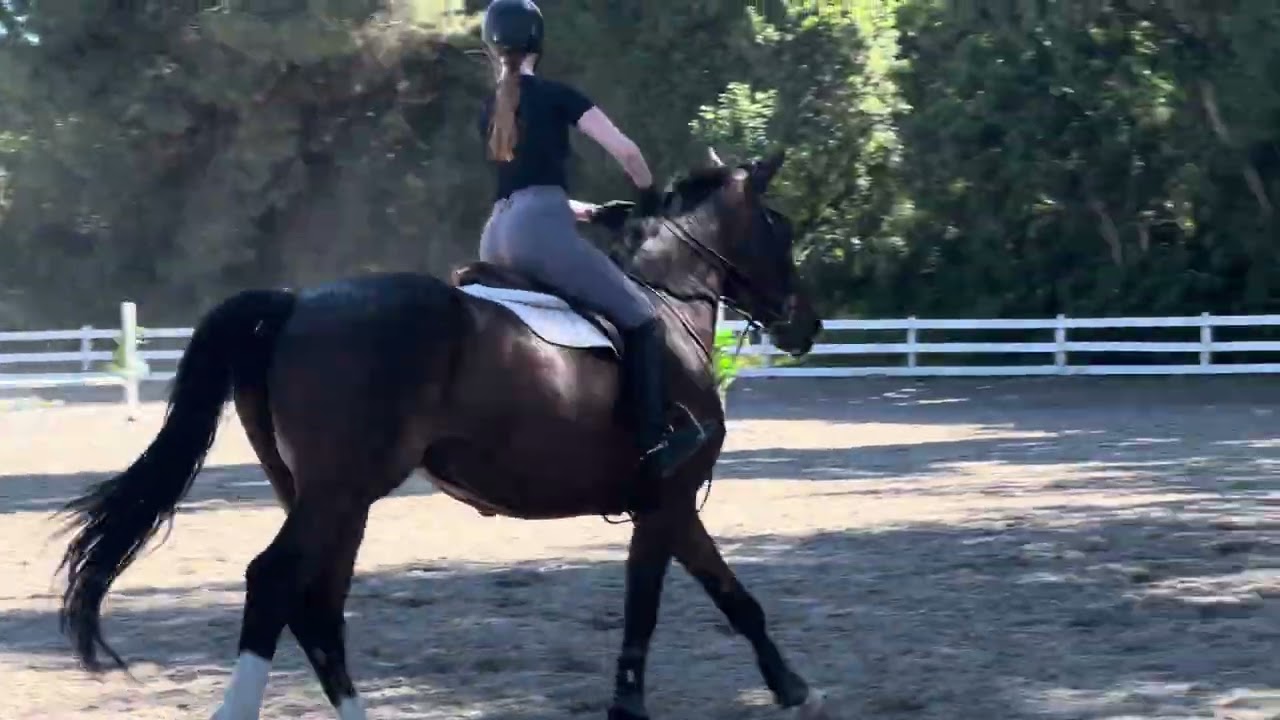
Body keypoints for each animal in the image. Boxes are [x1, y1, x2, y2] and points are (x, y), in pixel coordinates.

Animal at [54, 148, 829, 720]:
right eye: (781, 225)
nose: (807, 323)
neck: (664, 308)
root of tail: (297, 302)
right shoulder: (664, 503)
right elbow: (647, 608)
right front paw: (633, 707)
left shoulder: (668, 507)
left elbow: (737, 599)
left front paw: (792, 688)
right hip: (339, 493)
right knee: (275, 583)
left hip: (333, 498)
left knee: (318, 604)